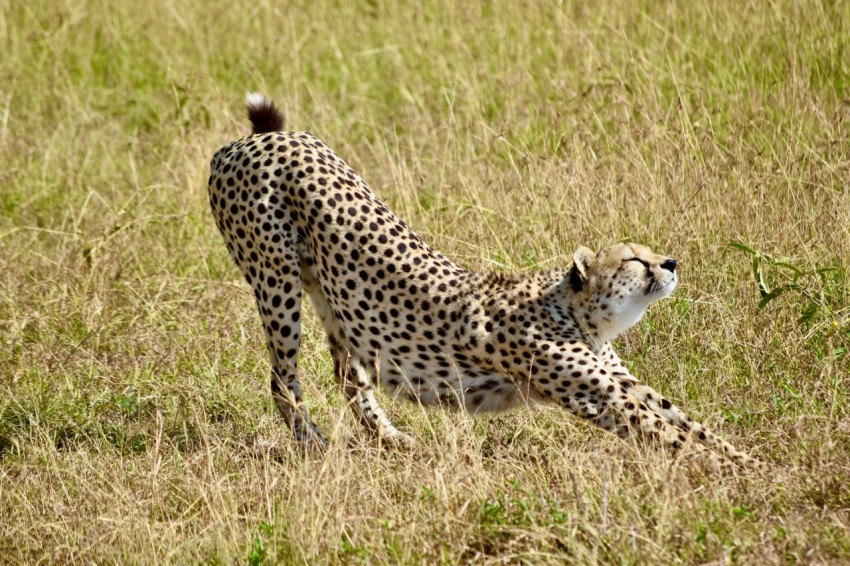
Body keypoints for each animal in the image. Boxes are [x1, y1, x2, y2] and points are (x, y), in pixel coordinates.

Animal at [209, 95, 764, 472]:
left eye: (649, 250)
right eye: (633, 258)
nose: (670, 262)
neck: (577, 312)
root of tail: (258, 139)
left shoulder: (623, 382)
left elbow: (689, 423)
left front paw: (751, 461)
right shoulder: (599, 396)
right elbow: (670, 436)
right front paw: (740, 477)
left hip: (332, 295)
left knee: (350, 376)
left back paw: (391, 440)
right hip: (276, 281)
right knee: (283, 380)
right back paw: (316, 447)